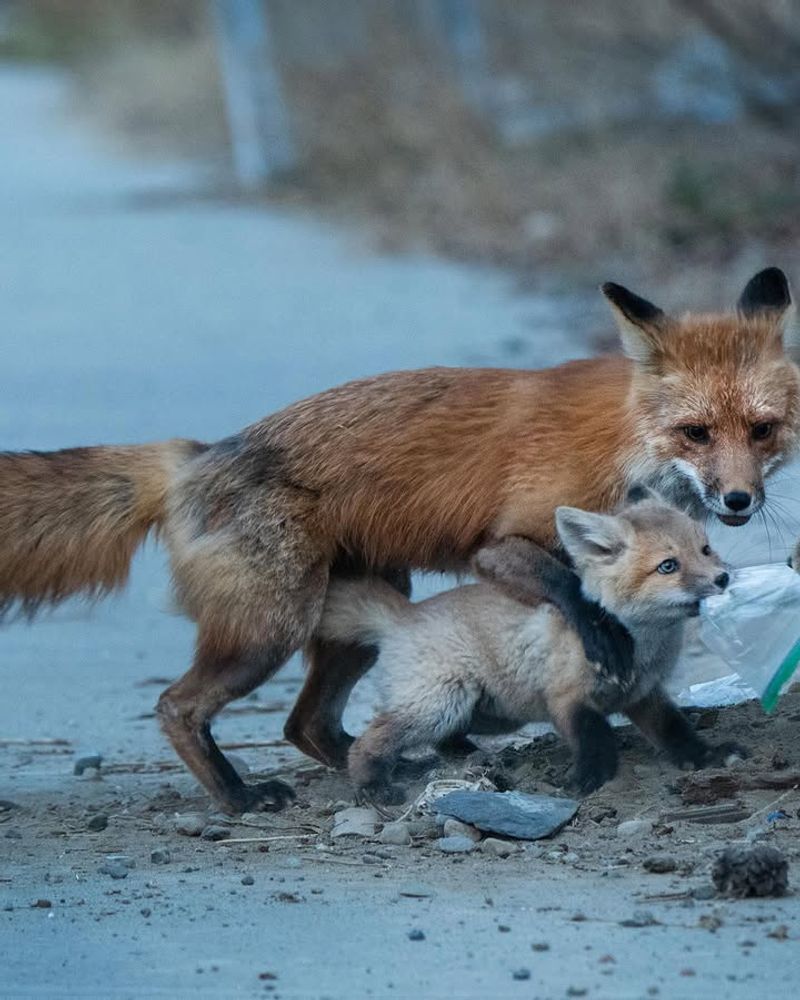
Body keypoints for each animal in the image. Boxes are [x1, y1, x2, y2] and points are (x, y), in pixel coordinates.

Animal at [319, 488, 738, 802]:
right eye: (668, 566)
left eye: (704, 549)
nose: (723, 578)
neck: (641, 647)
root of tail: (405, 613)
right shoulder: (566, 697)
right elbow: (596, 738)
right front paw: (588, 780)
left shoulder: (644, 694)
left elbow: (675, 730)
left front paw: (706, 756)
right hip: (439, 703)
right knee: (370, 740)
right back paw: (372, 784)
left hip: (489, 713)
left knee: (441, 738)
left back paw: (464, 754)